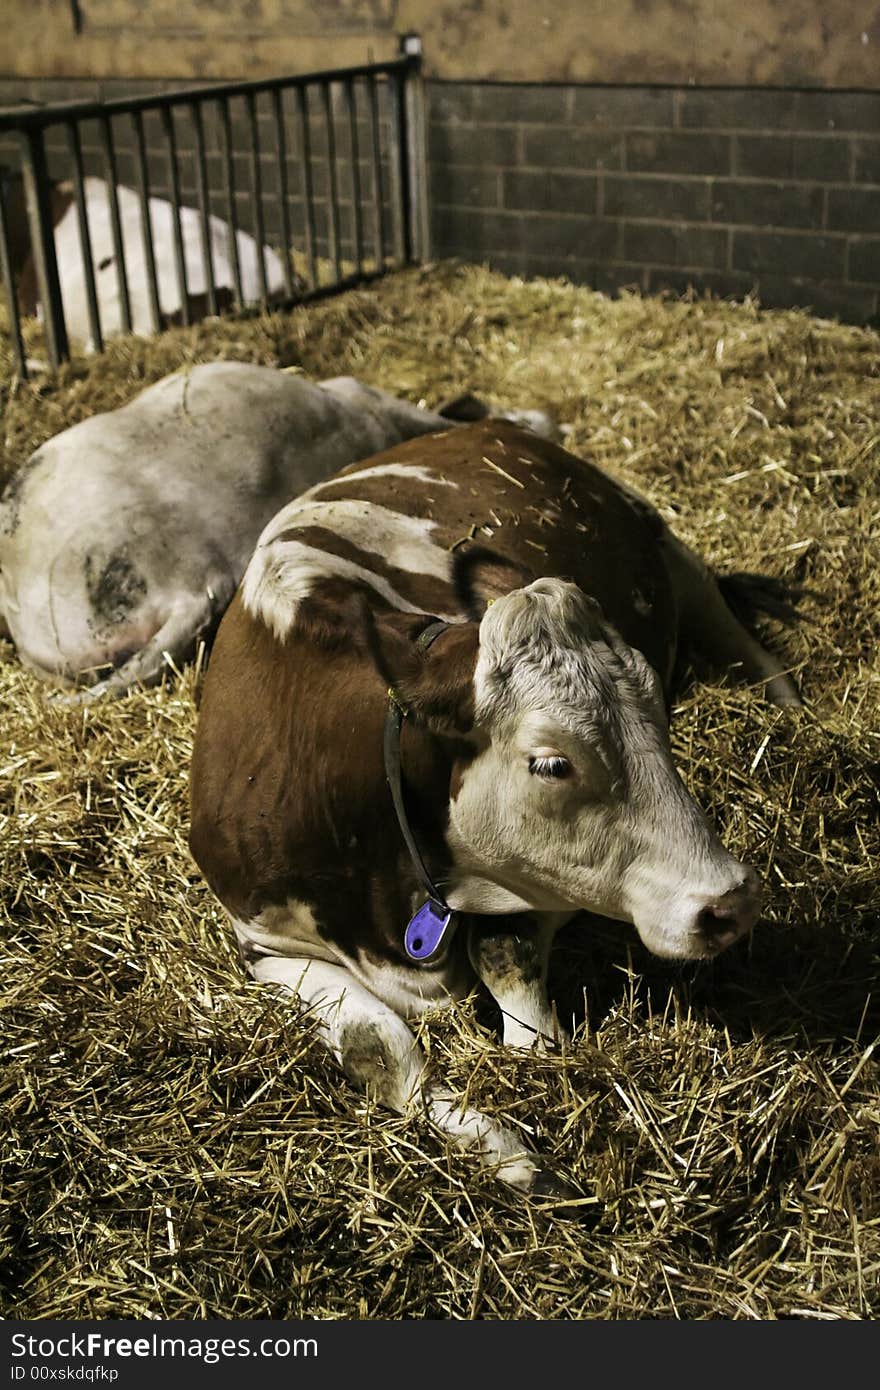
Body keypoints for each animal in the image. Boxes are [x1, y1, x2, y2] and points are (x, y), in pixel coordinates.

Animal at [189, 422, 800, 1195]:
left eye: (661, 712)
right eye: (551, 762)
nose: (731, 901)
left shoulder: (538, 883)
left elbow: (515, 984)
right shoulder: (263, 942)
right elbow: (376, 1046)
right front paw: (501, 1148)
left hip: (670, 547)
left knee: (741, 637)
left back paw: (794, 708)